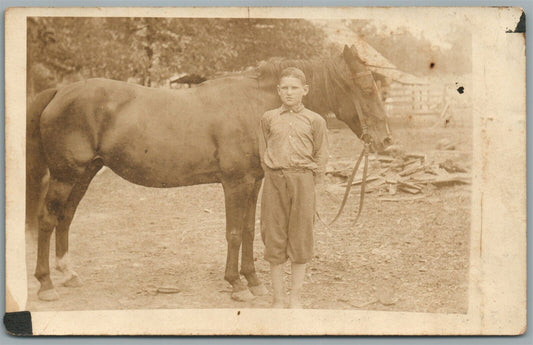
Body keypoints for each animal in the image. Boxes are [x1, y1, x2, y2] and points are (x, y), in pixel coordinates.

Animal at [27, 45, 392, 300]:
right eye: (365, 87)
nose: (386, 140)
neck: (253, 106)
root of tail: (60, 91)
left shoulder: (254, 183)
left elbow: (248, 230)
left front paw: (254, 281)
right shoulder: (235, 184)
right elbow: (233, 233)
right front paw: (236, 285)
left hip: (85, 173)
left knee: (66, 217)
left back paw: (67, 274)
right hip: (65, 175)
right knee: (47, 220)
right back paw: (46, 284)